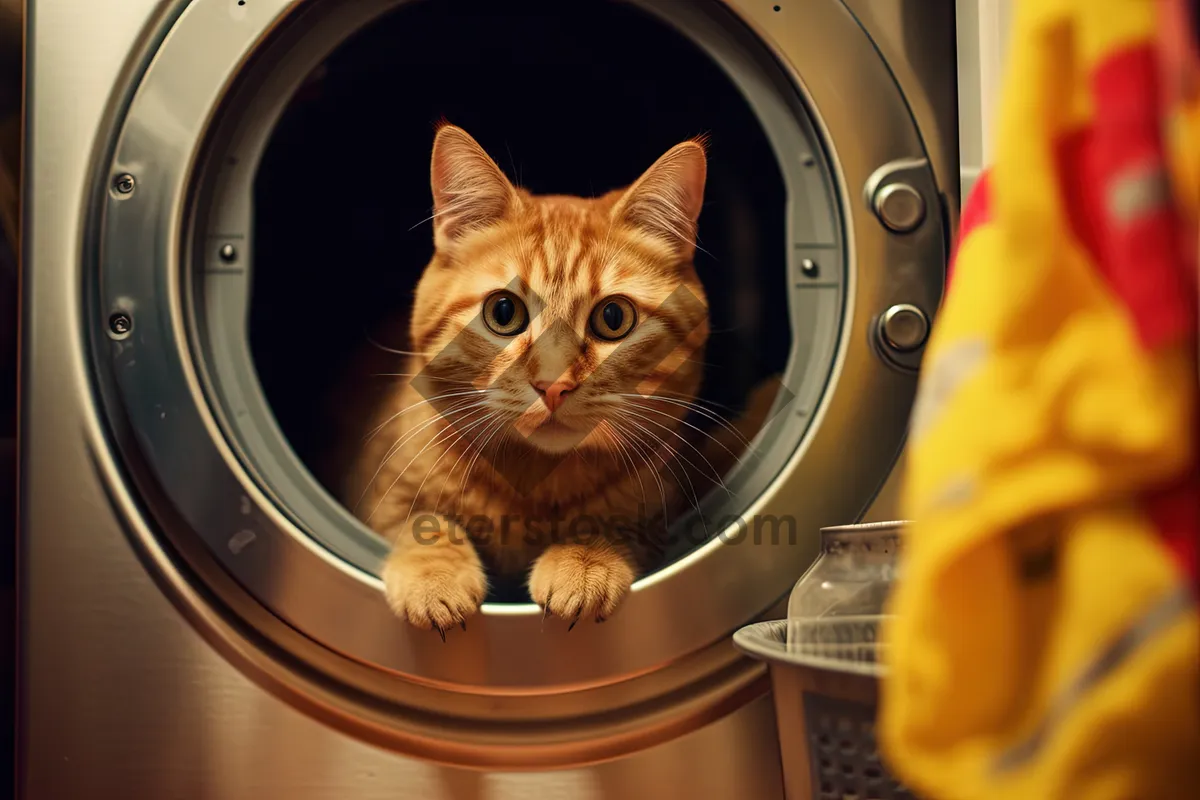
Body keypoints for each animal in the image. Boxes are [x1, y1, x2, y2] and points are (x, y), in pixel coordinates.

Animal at [343, 125, 705, 633]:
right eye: (503, 312)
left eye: (614, 318)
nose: (553, 384)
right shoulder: (381, 497)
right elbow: (420, 522)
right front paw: (434, 576)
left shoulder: (659, 512)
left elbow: (619, 524)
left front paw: (584, 558)